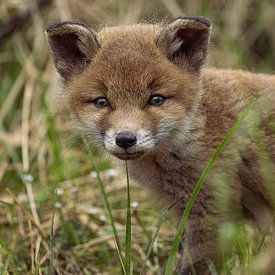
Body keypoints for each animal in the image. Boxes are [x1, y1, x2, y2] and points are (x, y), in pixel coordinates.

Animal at [45, 16, 275, 274]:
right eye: (102, 102)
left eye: (156, 99)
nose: (126, 139)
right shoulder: (186, 210)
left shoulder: (212, 208)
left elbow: (195, 265)